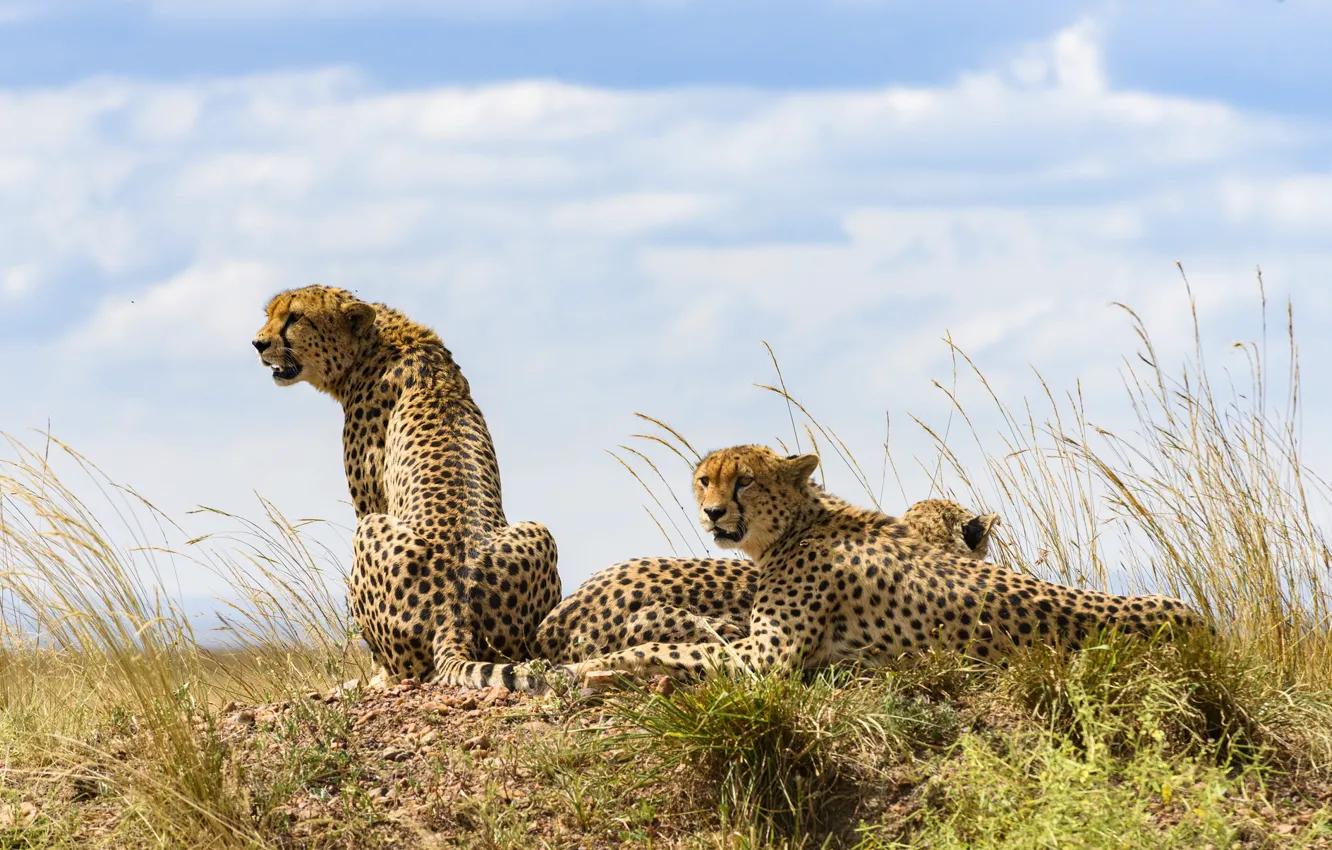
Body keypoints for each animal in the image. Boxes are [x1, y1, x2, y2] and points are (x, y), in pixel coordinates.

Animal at [252, 285, 561, 690]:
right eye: (270, 313)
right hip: (539, 534)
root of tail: (457, 612)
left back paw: (372, 681)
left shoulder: (369, 502)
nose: (258, 343)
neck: (380, 342)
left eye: (295, 317)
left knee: (400, 670)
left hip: (371, 531)